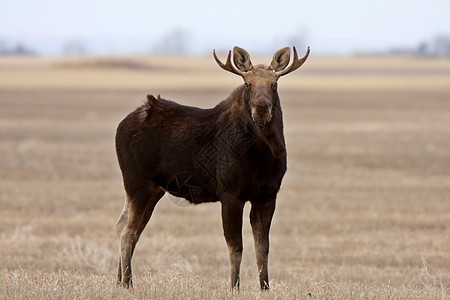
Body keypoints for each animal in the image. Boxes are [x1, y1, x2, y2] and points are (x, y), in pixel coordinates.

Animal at [115, 45, 310, 290]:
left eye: (274, 84)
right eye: (247, 84)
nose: (261, 108)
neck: (263, 157)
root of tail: (121, 125)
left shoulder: (267, 195)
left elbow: (262, 250)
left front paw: (265, 288)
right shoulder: (230, 194)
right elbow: (236, 248)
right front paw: (234, 287)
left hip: (153, 189)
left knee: (124, 224)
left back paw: (119, 281)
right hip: (138, 184)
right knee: (128, 231)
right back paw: (127, 283)